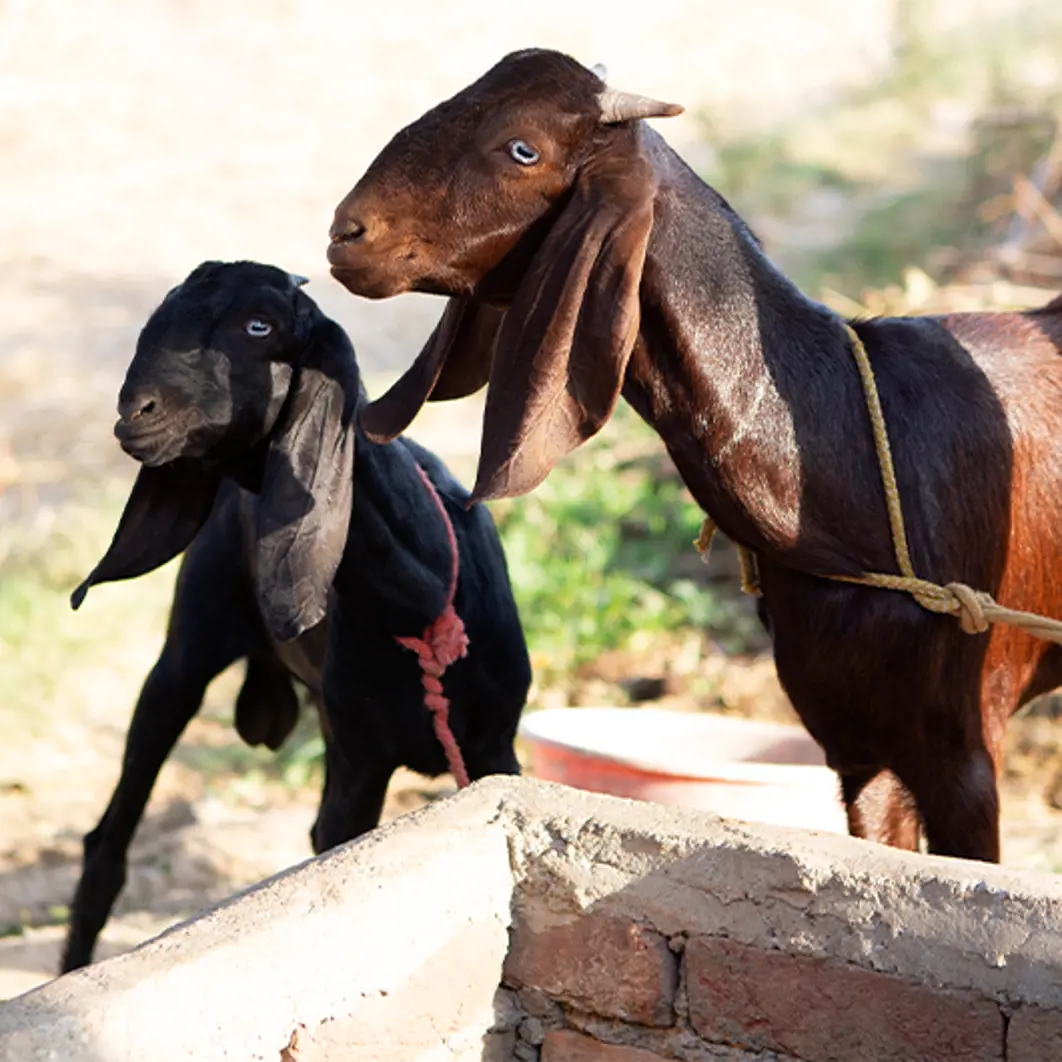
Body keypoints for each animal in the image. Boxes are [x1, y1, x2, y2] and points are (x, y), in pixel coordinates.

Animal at [62, 260, 530, 971]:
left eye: (260, 326)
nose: (135, 414)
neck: (420, 601)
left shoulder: (495, 746)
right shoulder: (362, 758)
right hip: (186, 654)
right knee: (107, 844)